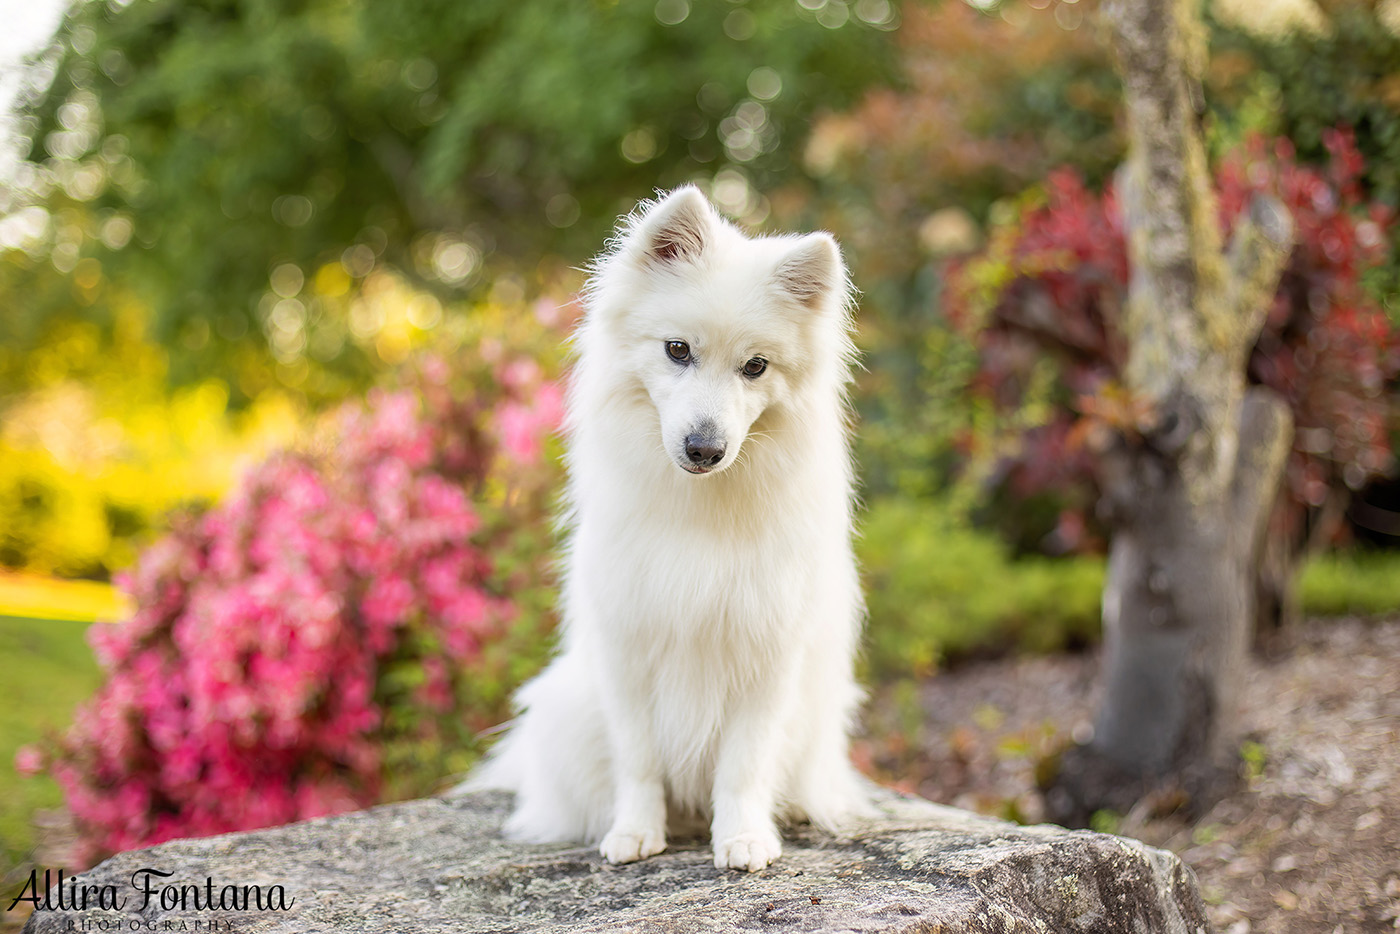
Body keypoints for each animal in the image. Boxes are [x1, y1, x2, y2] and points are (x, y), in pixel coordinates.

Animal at [467, 186, 862, 873]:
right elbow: (639, 761)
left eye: (755, 367)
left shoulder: (765, 653)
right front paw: (635, 832)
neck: (698, 511)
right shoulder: (629, 650)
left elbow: (743, 764)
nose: (704, 448)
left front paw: (742, 838)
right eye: (678, 350)